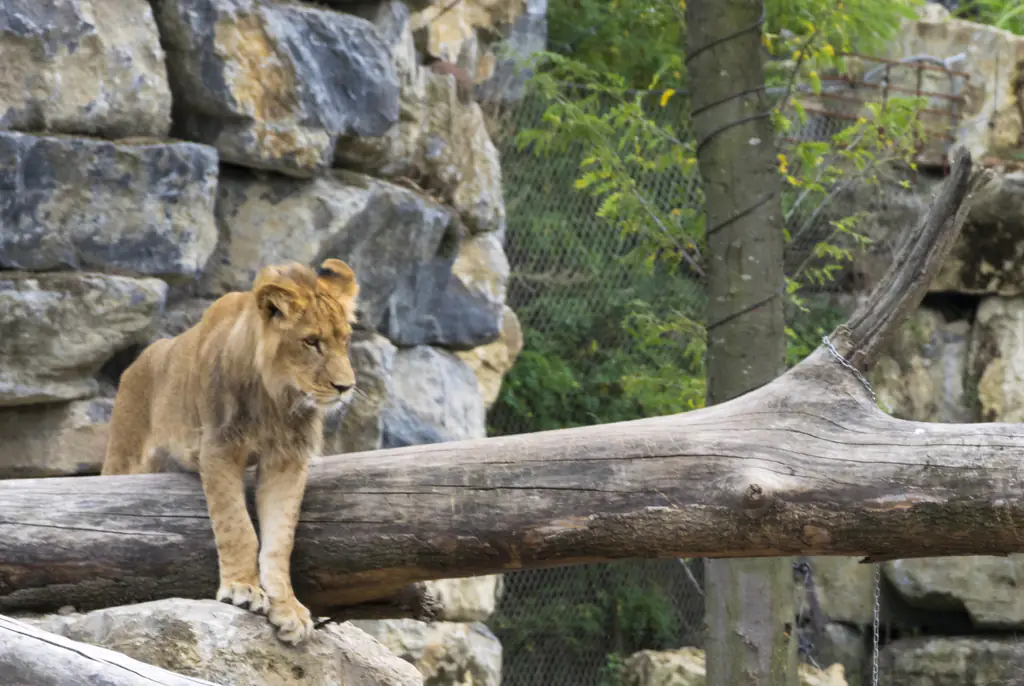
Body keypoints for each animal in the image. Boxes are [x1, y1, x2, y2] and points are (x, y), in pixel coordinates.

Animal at [101, 258, 360, 645]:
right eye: (312, 342)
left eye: (344, 341)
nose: (346, 387)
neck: (276, 397)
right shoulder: (219, 448)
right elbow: (237, 526)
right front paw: (243, 588)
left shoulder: (288, 460)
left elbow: (280, 540)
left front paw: (288, 608)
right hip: (123, 455)